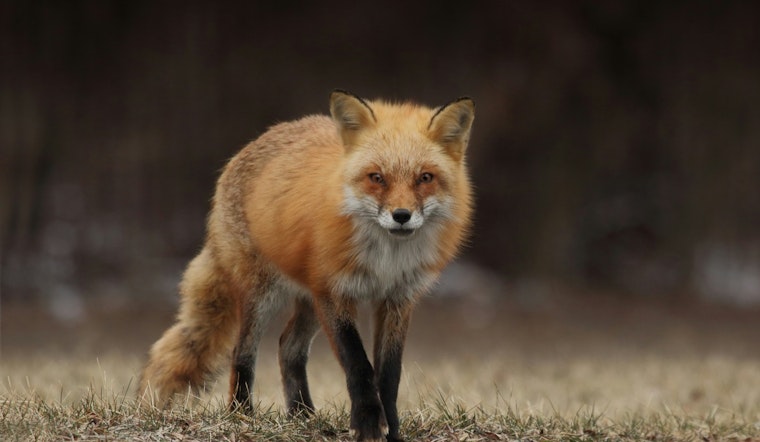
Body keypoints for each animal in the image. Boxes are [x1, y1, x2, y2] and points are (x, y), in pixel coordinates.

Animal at [138, 90, 475, 441]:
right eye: (376, 178)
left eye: (425, 178)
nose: (401, 215)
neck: (385, 260)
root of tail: (252, 144)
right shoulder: (334, 293)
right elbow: (359, 365)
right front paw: (368, 424)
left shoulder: (397, 300)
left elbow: (389, 374)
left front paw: (391, 429)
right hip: (265, 295)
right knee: (241, 352)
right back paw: (242, 414)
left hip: (310, 301)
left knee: (288, 348)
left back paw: (302, 415)